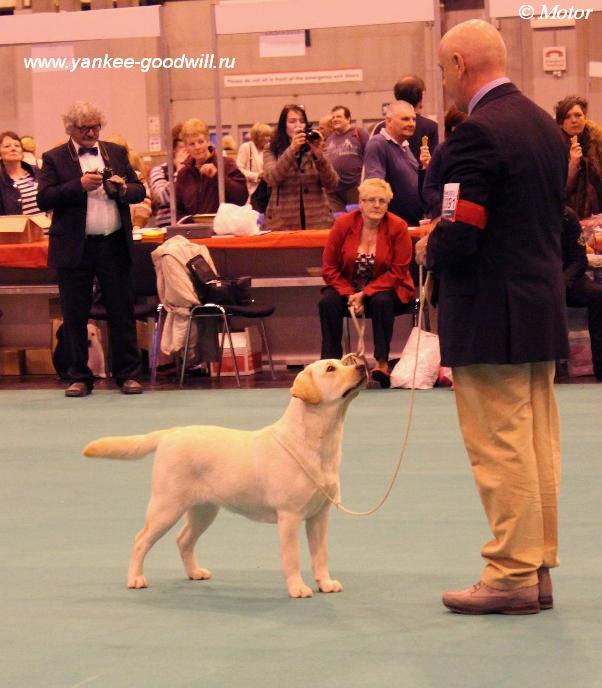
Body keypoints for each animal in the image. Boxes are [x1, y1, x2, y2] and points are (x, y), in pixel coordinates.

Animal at [82, 358, 364, 600]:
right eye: (331, 369)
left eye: (345, 362)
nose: (362, 365)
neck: (315, 442)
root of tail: (169, 433)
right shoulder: (289, 516)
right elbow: (292, 556)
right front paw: (297, 588)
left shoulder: (319, 516)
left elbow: (320, 554)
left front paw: (325, 583)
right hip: (166, 506)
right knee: (140, 540)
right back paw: (136, 578)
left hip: (203, 510)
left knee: (183, 539)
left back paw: (195, 572)